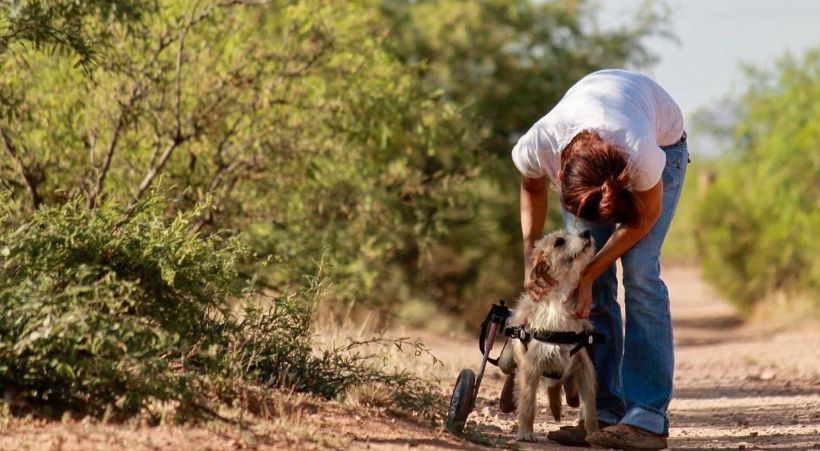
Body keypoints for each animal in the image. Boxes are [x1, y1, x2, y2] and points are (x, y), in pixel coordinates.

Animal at [512, 231, 596, 444]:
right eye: (559, 241)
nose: (586, 232)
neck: (559, 299)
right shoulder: (531, 366)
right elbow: (528, 402)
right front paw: (525, 432)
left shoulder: (584, 365)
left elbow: (590, 405)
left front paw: (594, 433)